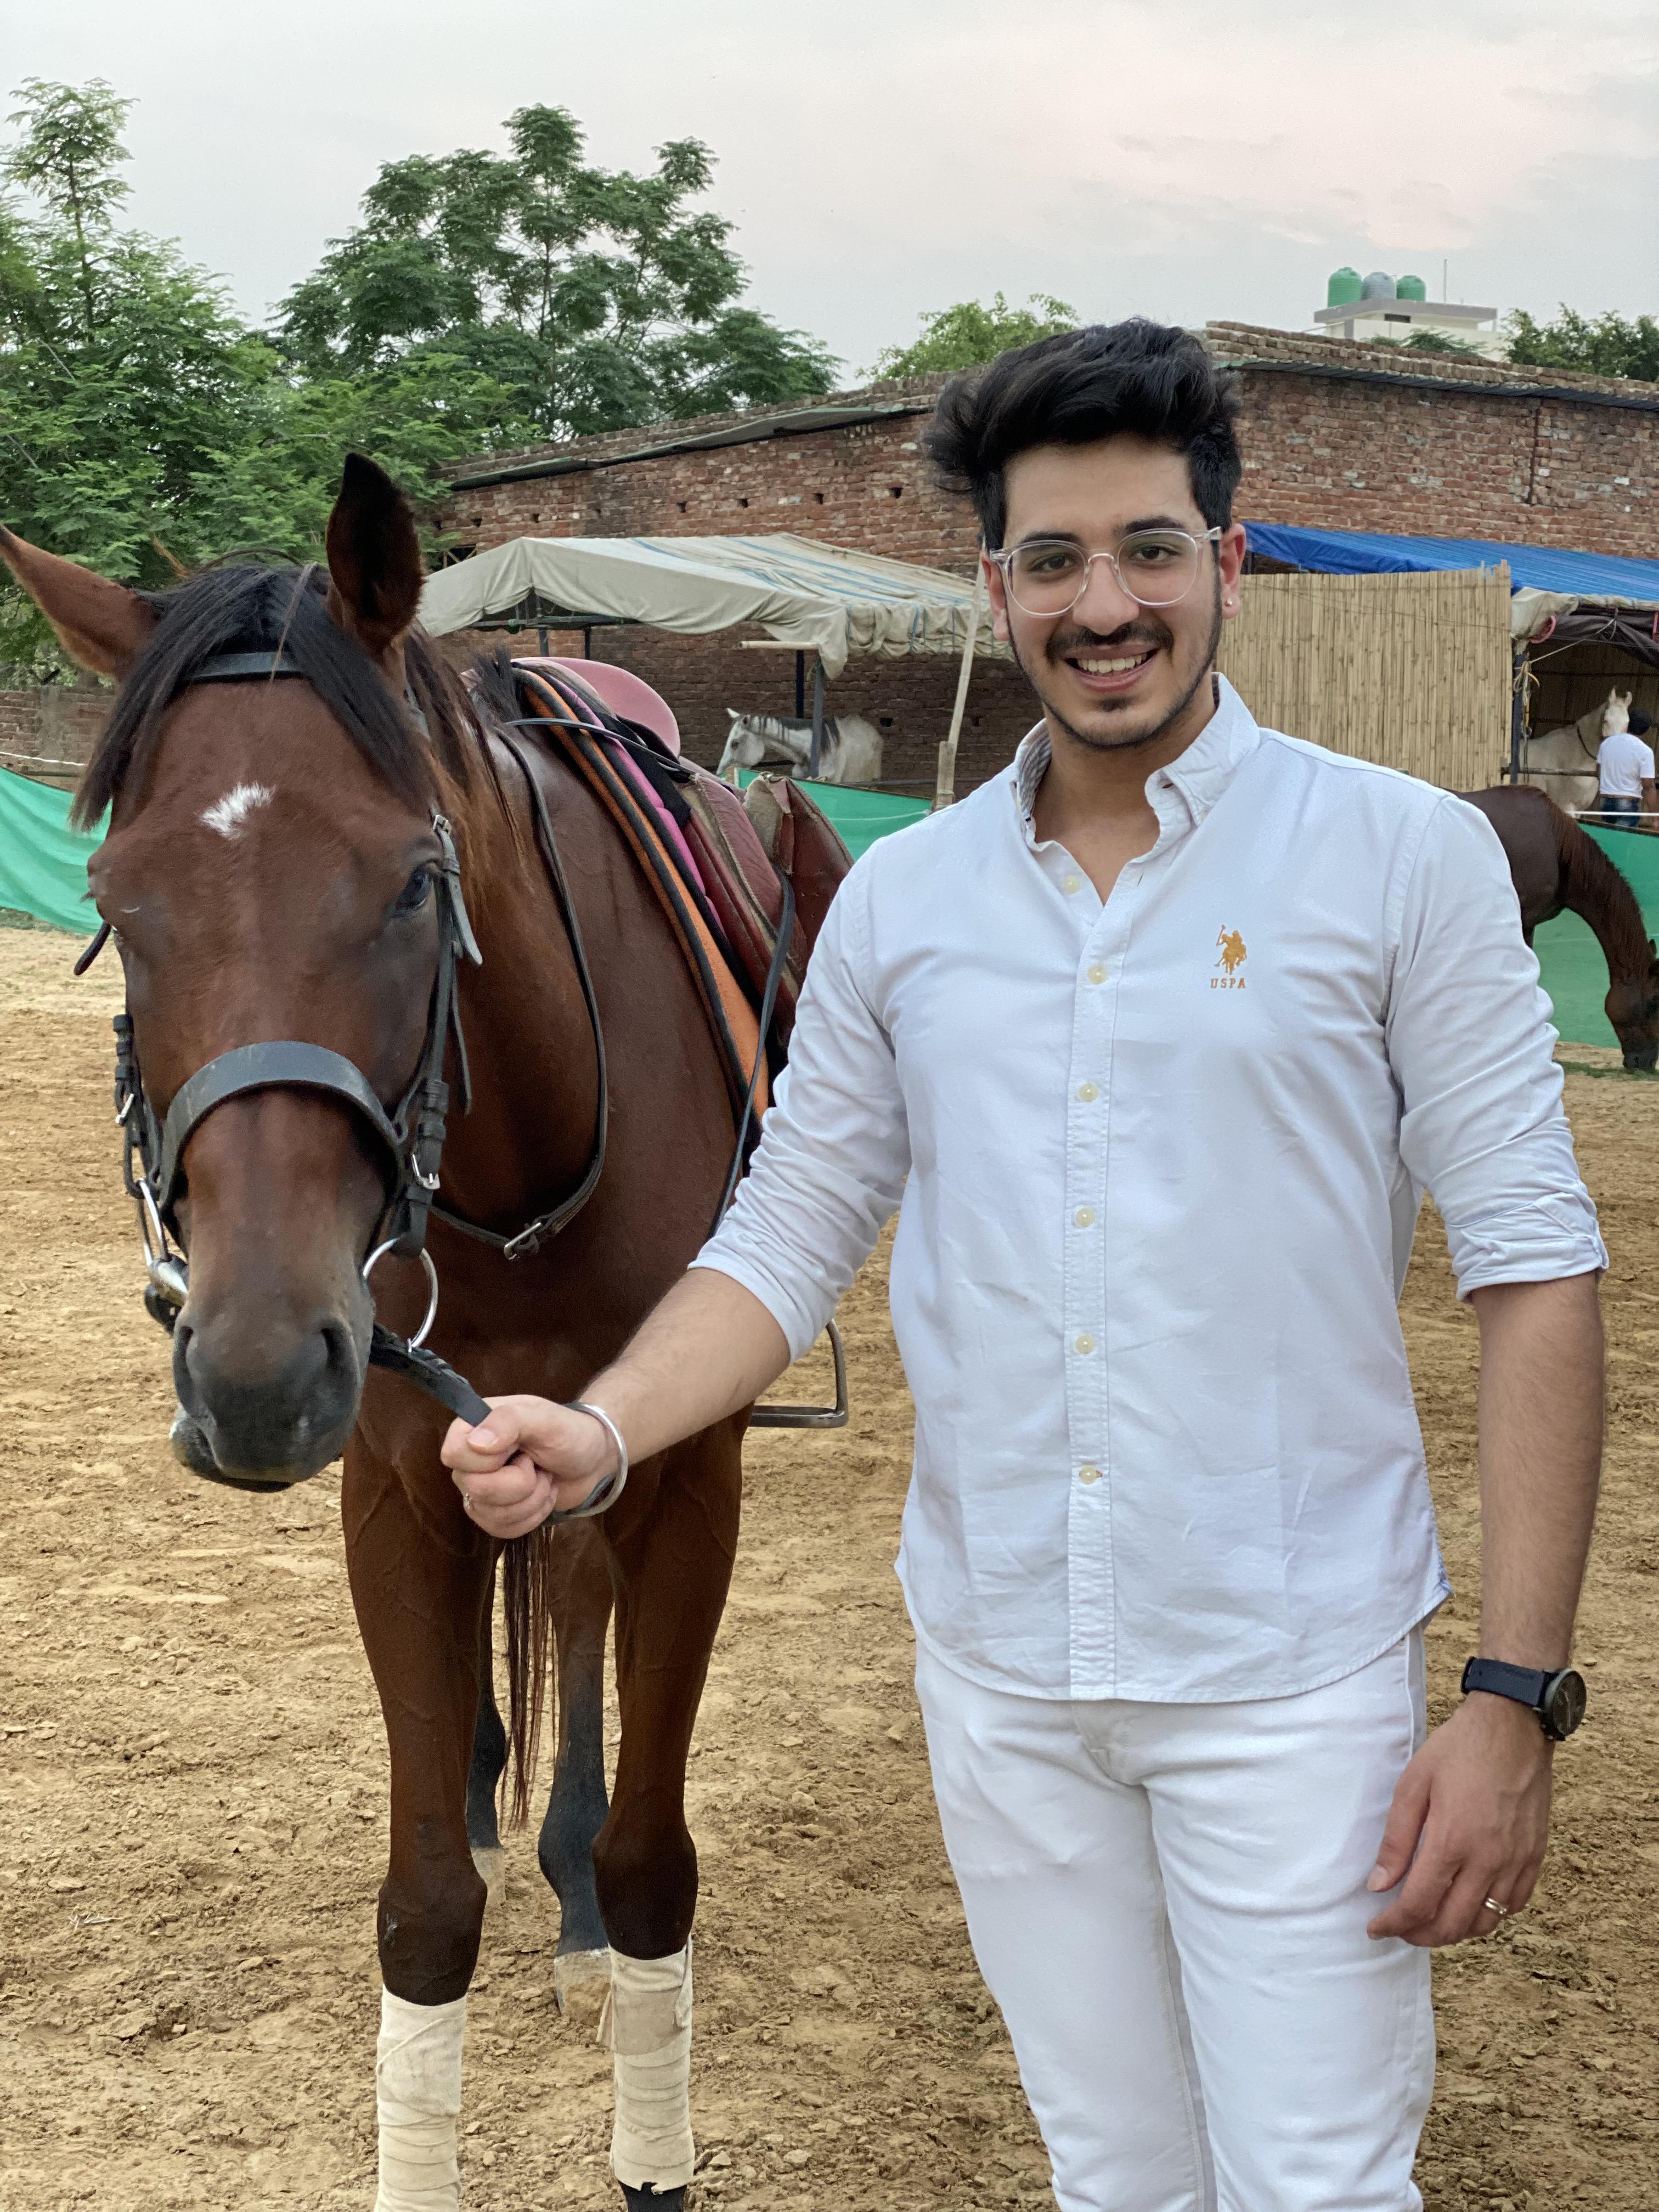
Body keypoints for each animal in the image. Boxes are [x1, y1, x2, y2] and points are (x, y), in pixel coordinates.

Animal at [1, 456, 777, 2211]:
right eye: (117, 904)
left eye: (414, 881)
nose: (253, 1375)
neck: (518, 1155)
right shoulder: (402, 1488)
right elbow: (424, 1909)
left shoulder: (684, 1482)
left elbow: (653, 1867)